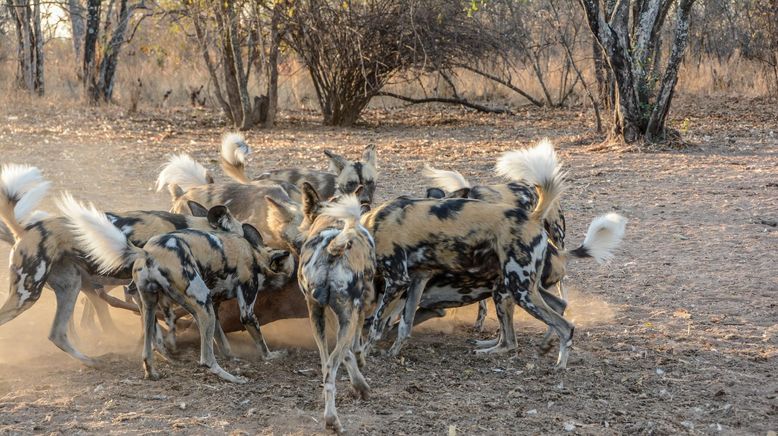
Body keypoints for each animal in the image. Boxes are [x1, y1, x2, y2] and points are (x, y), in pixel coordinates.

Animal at [0, 163, 246, 364]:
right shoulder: (138, 290)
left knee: (58, 334)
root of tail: (25, 229)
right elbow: (155, 330)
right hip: (27, 294)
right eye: (246, 237)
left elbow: (207, 329)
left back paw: (92, 361)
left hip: (70, 285)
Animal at [296, 193, 374, 432]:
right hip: (349, 314)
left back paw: (329, 413)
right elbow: (355, 347)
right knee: (331, 366)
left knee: (326, 364)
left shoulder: (328, 314)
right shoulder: (361, 307)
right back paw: (333, 420)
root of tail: (332, 247)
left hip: (316, 315)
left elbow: (346, 353)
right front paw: (361, 382)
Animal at [362, 143, 624, 368]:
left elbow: (377, 322)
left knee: (561, 325)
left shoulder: (398, 281)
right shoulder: (417, 280)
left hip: (519, 289)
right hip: (519, 287)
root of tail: (532, 216)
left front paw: (366, 352)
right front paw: (392, 352)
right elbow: (403, 325)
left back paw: (558, 365)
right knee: (555, 309)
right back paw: (539, 346)